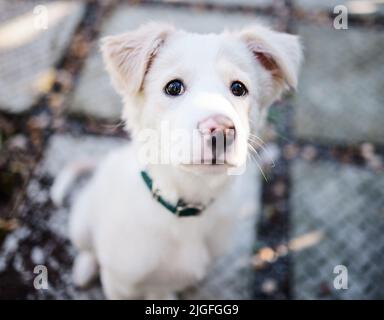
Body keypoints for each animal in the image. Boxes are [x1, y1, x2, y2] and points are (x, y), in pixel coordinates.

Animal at [51, 23, 304, 300]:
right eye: (173, 87)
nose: (221, 131)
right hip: (81, 223)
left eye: (239, 88)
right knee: (88, 248)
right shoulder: (120, 284)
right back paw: (84, 268)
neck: (185, 208)